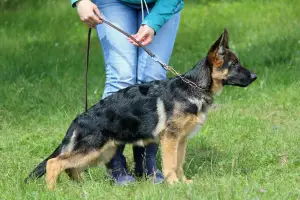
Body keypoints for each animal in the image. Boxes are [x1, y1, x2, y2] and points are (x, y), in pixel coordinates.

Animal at [24, 29, 256, 189]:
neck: (194, 86)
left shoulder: (181, 140)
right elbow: (170, 164)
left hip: (101, 152)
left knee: (70, 168)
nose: (254, 76)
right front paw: (173, 185)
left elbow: (179, 164)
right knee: (54, 163)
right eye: (234, 64)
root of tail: (80, 118)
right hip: (92, 149)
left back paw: (82, 187)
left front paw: (184, 183)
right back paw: (53, 191)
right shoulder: (170, 139)